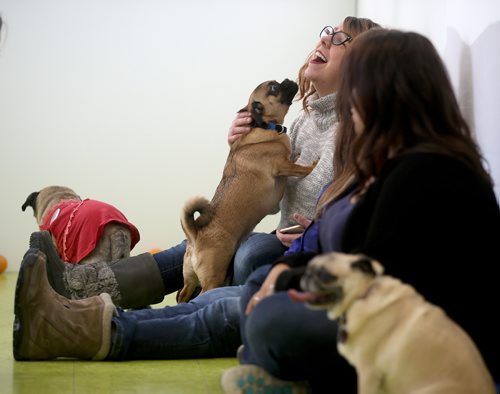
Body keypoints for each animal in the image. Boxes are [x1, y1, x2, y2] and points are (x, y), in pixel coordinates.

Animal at [178, 79, 316, 302]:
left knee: (183, 295)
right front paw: (315, 163)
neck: (264, 126)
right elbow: (303, 168)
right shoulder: (283, 165)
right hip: (213, 277)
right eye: (274, 88)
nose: (287, 80)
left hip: (190, 279)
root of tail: (195, 236)